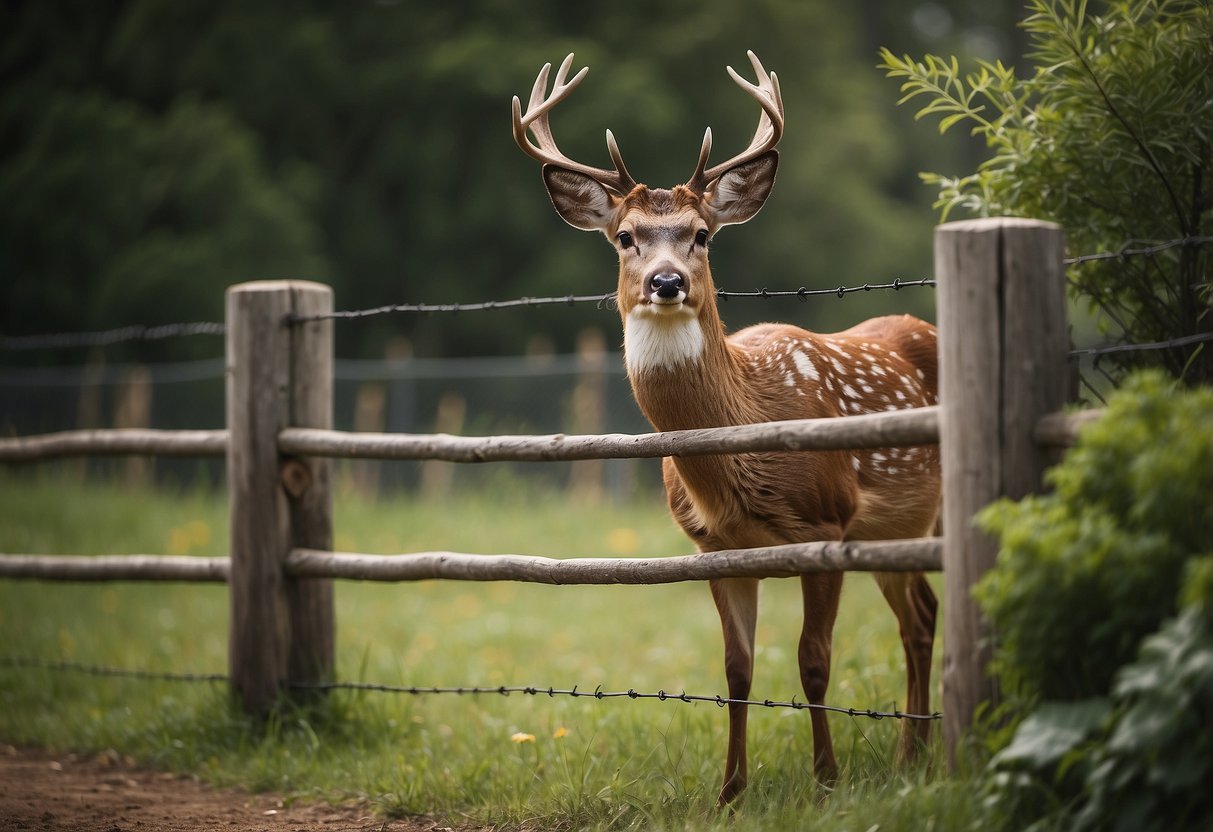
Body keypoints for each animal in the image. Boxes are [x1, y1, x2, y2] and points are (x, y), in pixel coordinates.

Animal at [511, 52, 936, 810]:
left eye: (701, 234)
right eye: (625, 237)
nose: (667, 281)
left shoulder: (826, 523)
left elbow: (813, 661)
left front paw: (826, 781)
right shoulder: (713, 544)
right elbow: (737, 670)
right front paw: (730, 791)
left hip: (920, 514)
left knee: (924, 618)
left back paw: (922, 752)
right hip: (892, 531)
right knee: (920, 615)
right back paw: (912, 755)